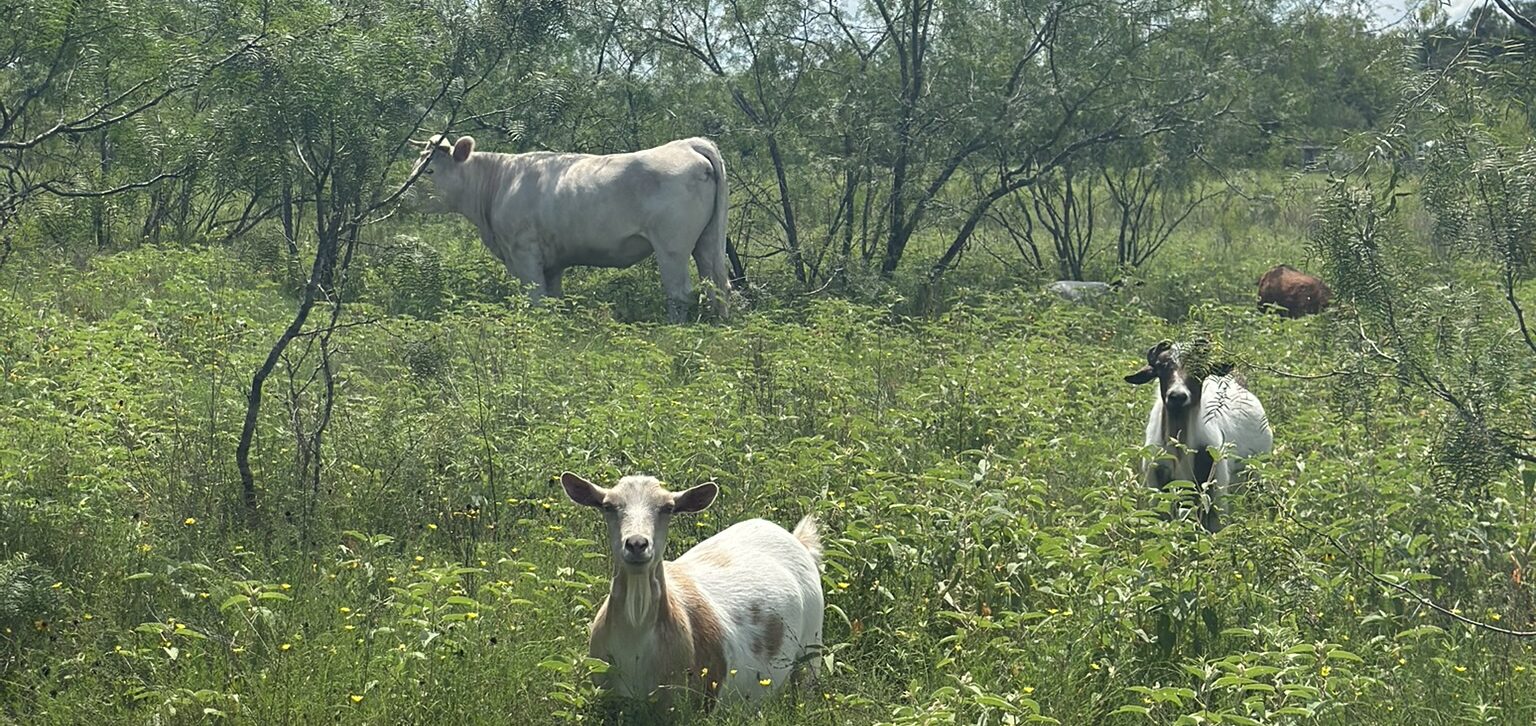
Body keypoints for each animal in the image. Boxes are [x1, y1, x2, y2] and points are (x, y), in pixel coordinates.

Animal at [1124, 341, 1273, 532]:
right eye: (1162, 366)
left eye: (1199, 370)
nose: (1177, 396)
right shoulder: (1158, 482)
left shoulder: (1214, 487)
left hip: (1255, 474)